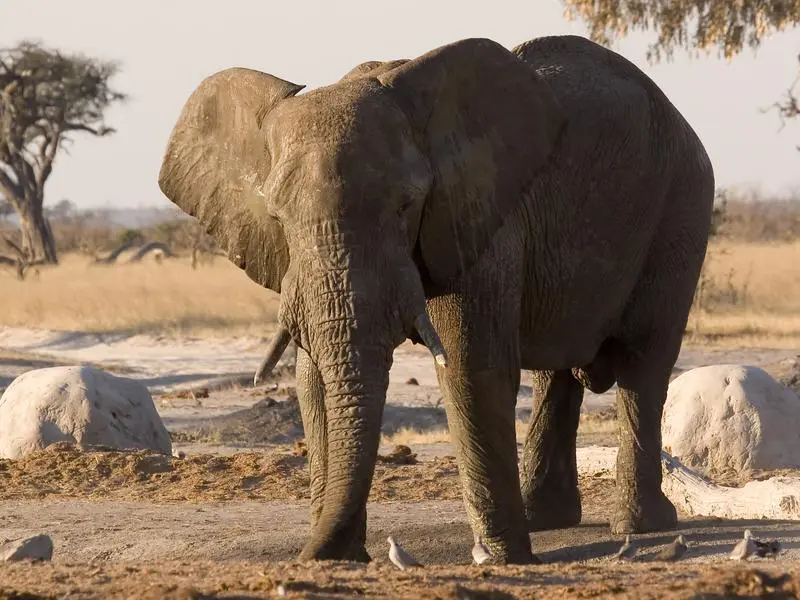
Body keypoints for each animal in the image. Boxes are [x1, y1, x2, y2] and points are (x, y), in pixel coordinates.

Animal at [158, 34, 715, 564]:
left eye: (407, 204)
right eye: (277, 215)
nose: (310, 553)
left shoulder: (476, 218)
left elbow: (471, 366)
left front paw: (506, 559)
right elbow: (312, 379)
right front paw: (341, 555)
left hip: (683, 207)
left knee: (643, 366)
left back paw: (640, 526)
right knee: (554, 373)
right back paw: (545, 519)